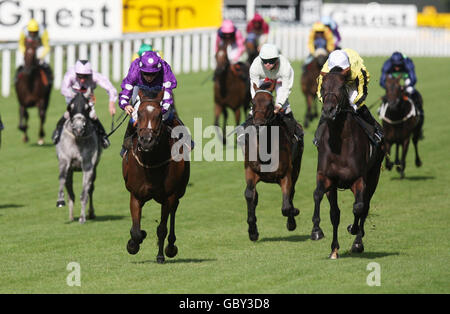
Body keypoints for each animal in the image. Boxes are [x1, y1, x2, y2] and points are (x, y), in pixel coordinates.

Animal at [55, 89, 102, 223]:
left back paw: (90, 213)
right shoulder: (65, 161)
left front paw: (82, 217)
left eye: (88, 108)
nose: (79, 129)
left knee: (91, 189)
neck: (77, 140)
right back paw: (71, 216)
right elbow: (62, 178)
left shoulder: (88, 166)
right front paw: (60, 201)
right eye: (69, 107)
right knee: (70, 189)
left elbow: (85, 192)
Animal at [121, 85, 190, 262]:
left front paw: (160, 255)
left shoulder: (169, 196)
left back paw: (171, 246)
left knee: (173, 212)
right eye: (139, 113)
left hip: (178, 192)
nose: (147, 141)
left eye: (159, 115)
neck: (151, 163)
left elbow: (162, 228)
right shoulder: (135, 195)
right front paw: (134, 243)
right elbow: (136, 231)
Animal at [243, 81, 302, 240]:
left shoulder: (286, 174)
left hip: (297, 167)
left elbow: (286, 205)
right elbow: (250, 195)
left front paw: (294, 213)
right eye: (252, 102)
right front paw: (252, 231)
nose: (258, 124)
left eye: (270, 104)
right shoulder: (250, 170)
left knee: (292, 192)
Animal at [312, 70, 384, 258]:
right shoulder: (327, 178)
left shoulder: (359, 180)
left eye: (340, 87)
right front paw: (317, 231)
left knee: (364, 206)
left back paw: (357, 240)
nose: (328, 110)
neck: (340, 144)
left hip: (374, 176)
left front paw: (354, 229)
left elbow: (359, 207)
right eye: (323, 87)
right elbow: (322, 201)